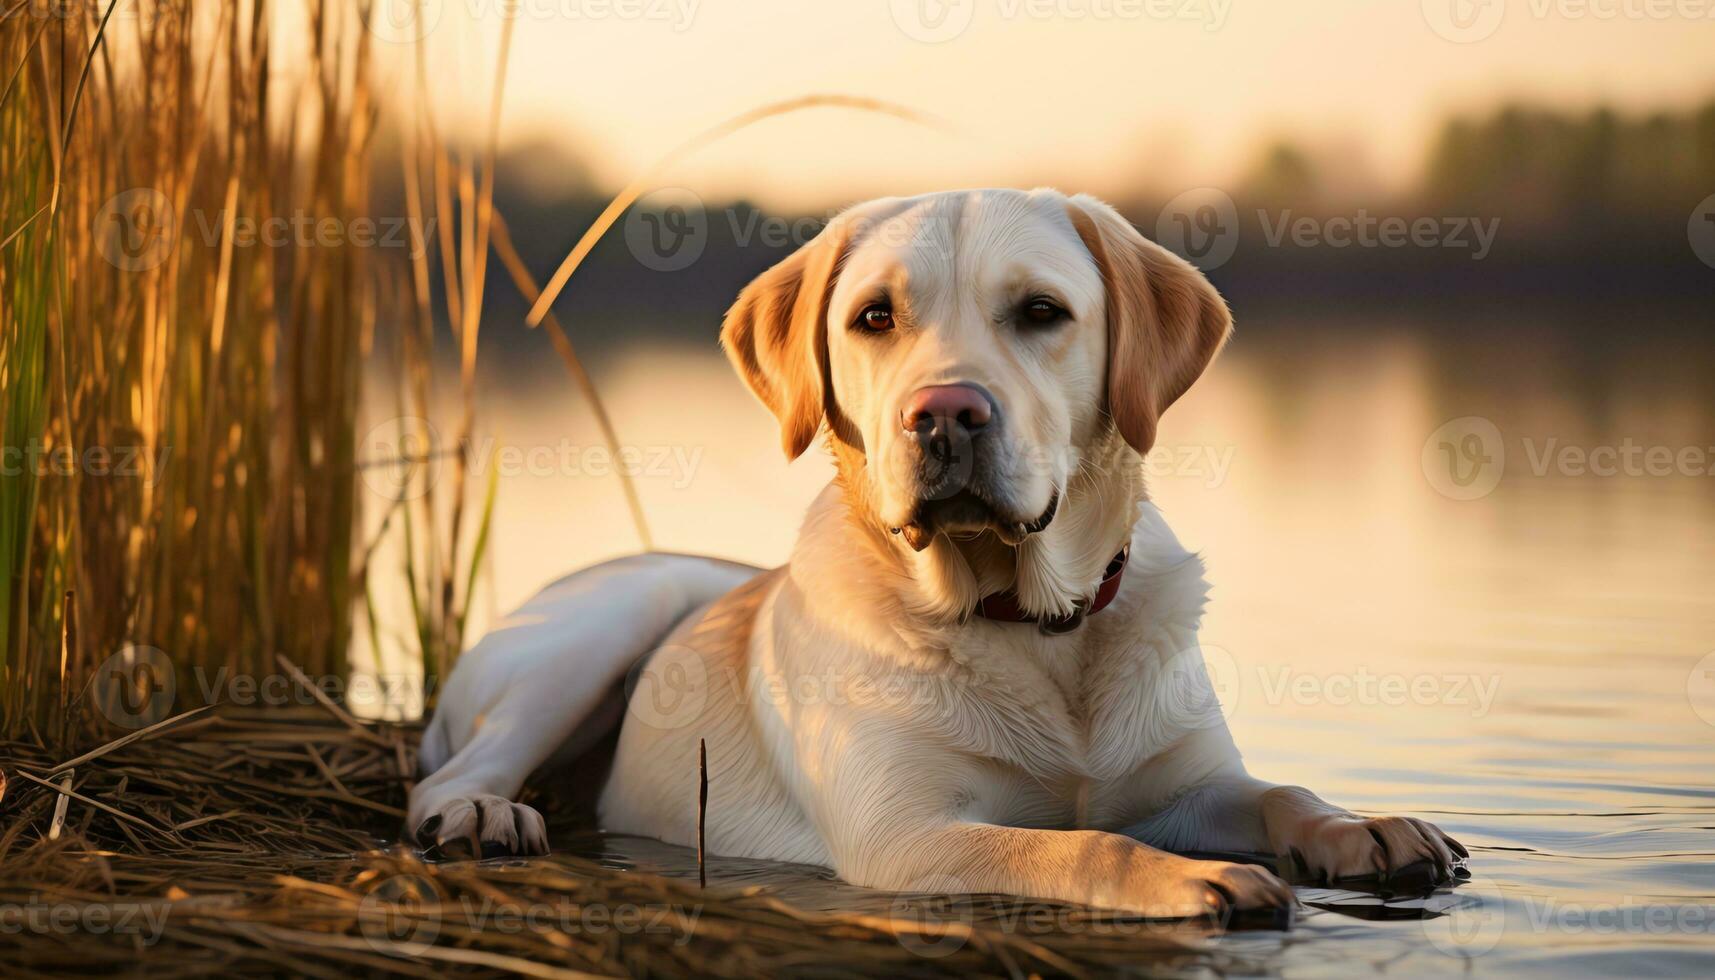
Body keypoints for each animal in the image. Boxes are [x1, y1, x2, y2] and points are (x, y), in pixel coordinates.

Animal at [404, 189, 1461, 919]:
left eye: (1040, 312)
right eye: (874, 317)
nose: (945, 413)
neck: (1031, 621)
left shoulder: (1186, 782)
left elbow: (1280, 788)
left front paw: (1364, 828)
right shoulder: (905, 834)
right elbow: (1078, 847)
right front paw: (1199, 882)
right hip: (601, 626)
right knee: (450, 776)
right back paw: (484, 816)